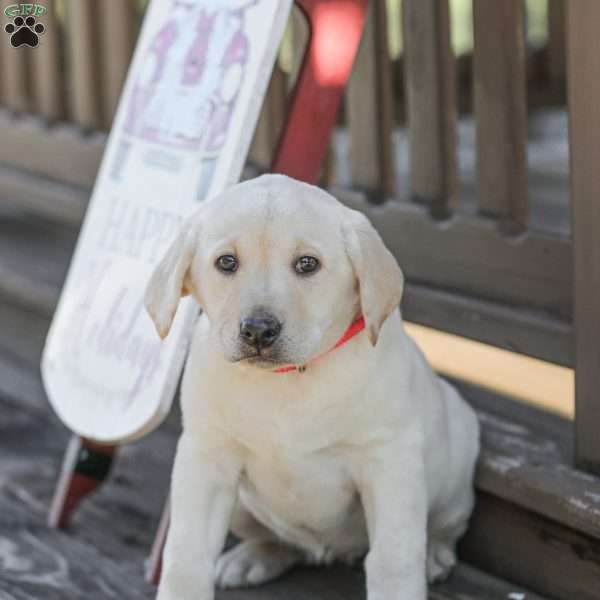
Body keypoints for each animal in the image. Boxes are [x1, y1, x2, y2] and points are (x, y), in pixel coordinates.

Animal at [148, 173, 480, 600]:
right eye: (226, 262)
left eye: (307, 264)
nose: (258, 330)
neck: (288, 378)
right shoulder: (206, 458)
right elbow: (185, 557)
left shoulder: (389, 461)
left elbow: (393, 559)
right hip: (240, 505)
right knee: (282, 543)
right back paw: (254, 556)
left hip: (454, 464)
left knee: (446, 523)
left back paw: (435, 553)